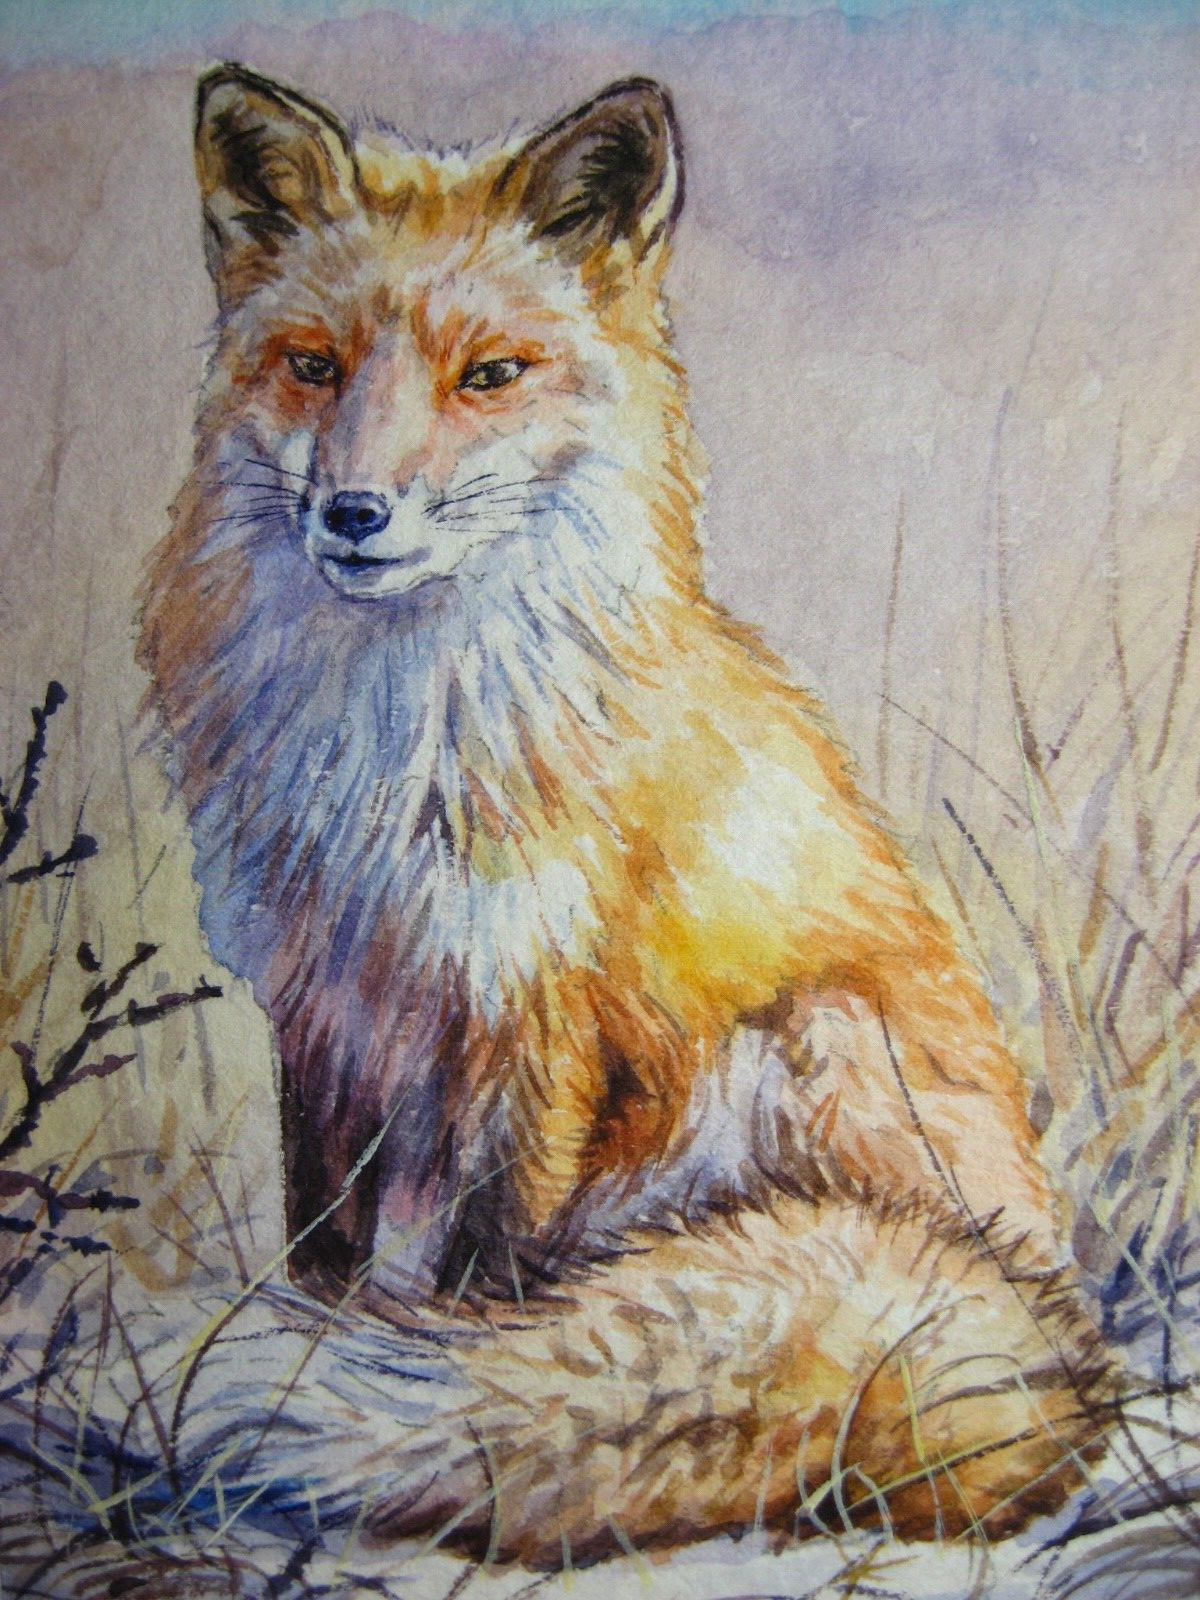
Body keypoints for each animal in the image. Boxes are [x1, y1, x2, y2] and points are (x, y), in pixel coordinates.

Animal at [134, 64, 1112, 1564]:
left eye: (488, 375)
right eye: (312, 365)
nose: (354, 511)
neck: (401, 743)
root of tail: (1051, 1343)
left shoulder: (543, 1012)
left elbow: (497, 1276)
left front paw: (436, 1387)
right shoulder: (325, 1004)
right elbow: (322, 1242)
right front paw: (321, 1343)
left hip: (798, 1048)